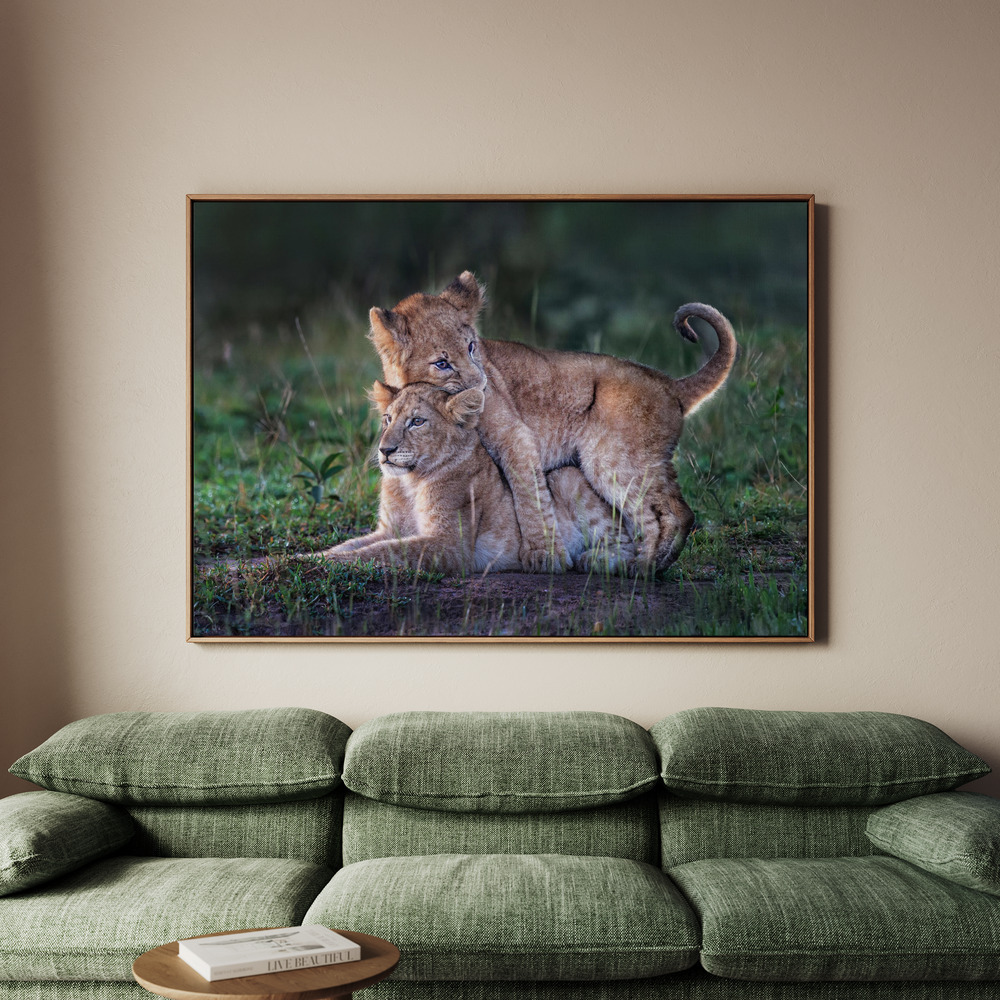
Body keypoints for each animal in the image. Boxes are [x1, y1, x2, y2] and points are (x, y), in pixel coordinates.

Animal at [312, 381, 634, 576]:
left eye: (417, 421)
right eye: (387, 419)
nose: (385, 450)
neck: (409, 482)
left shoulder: (449, 546)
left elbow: (380, 553)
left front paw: (323, 564)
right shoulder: (390, 528)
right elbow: (352, 546)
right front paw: (311, 558)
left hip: (566, 476)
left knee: (628, 544)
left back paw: (594, 560)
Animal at [367, 271, 737, 574]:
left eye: (472, 347)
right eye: (442, 363)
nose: (482, 385)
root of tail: (670, 384)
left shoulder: (514, 435)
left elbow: (529, 495)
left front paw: (544, 555)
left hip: (612, 460)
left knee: (673, 513)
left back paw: (642, 567)